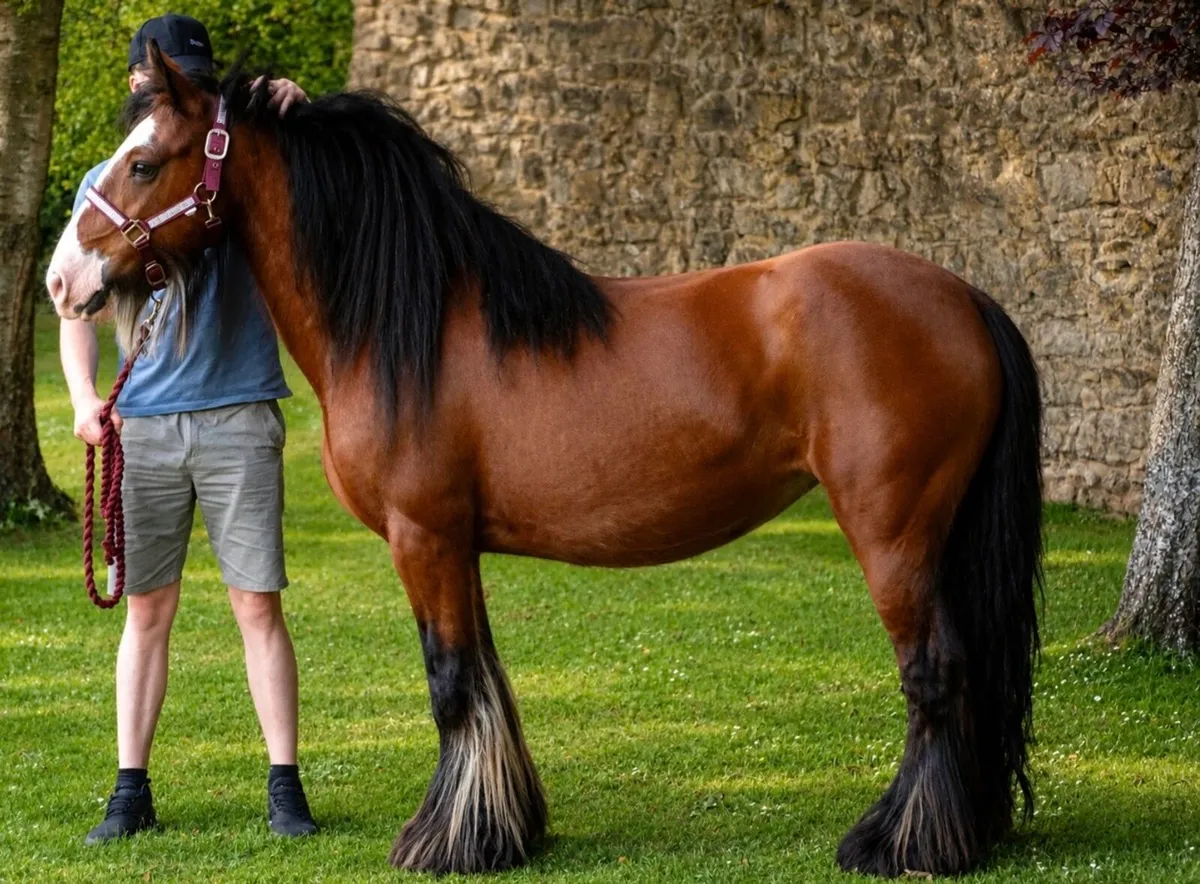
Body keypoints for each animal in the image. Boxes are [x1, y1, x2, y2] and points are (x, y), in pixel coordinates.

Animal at [46, 44, 1043, 878]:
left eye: (144, 163)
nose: (63, 282)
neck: (408, 324)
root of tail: (962, 296)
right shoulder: (457, 545)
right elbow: (486, 680)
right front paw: (504, 829)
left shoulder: (423, 538)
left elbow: (451, 684)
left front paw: (444, 843)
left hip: (892, 531)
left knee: (934, 673)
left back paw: (900, 844)